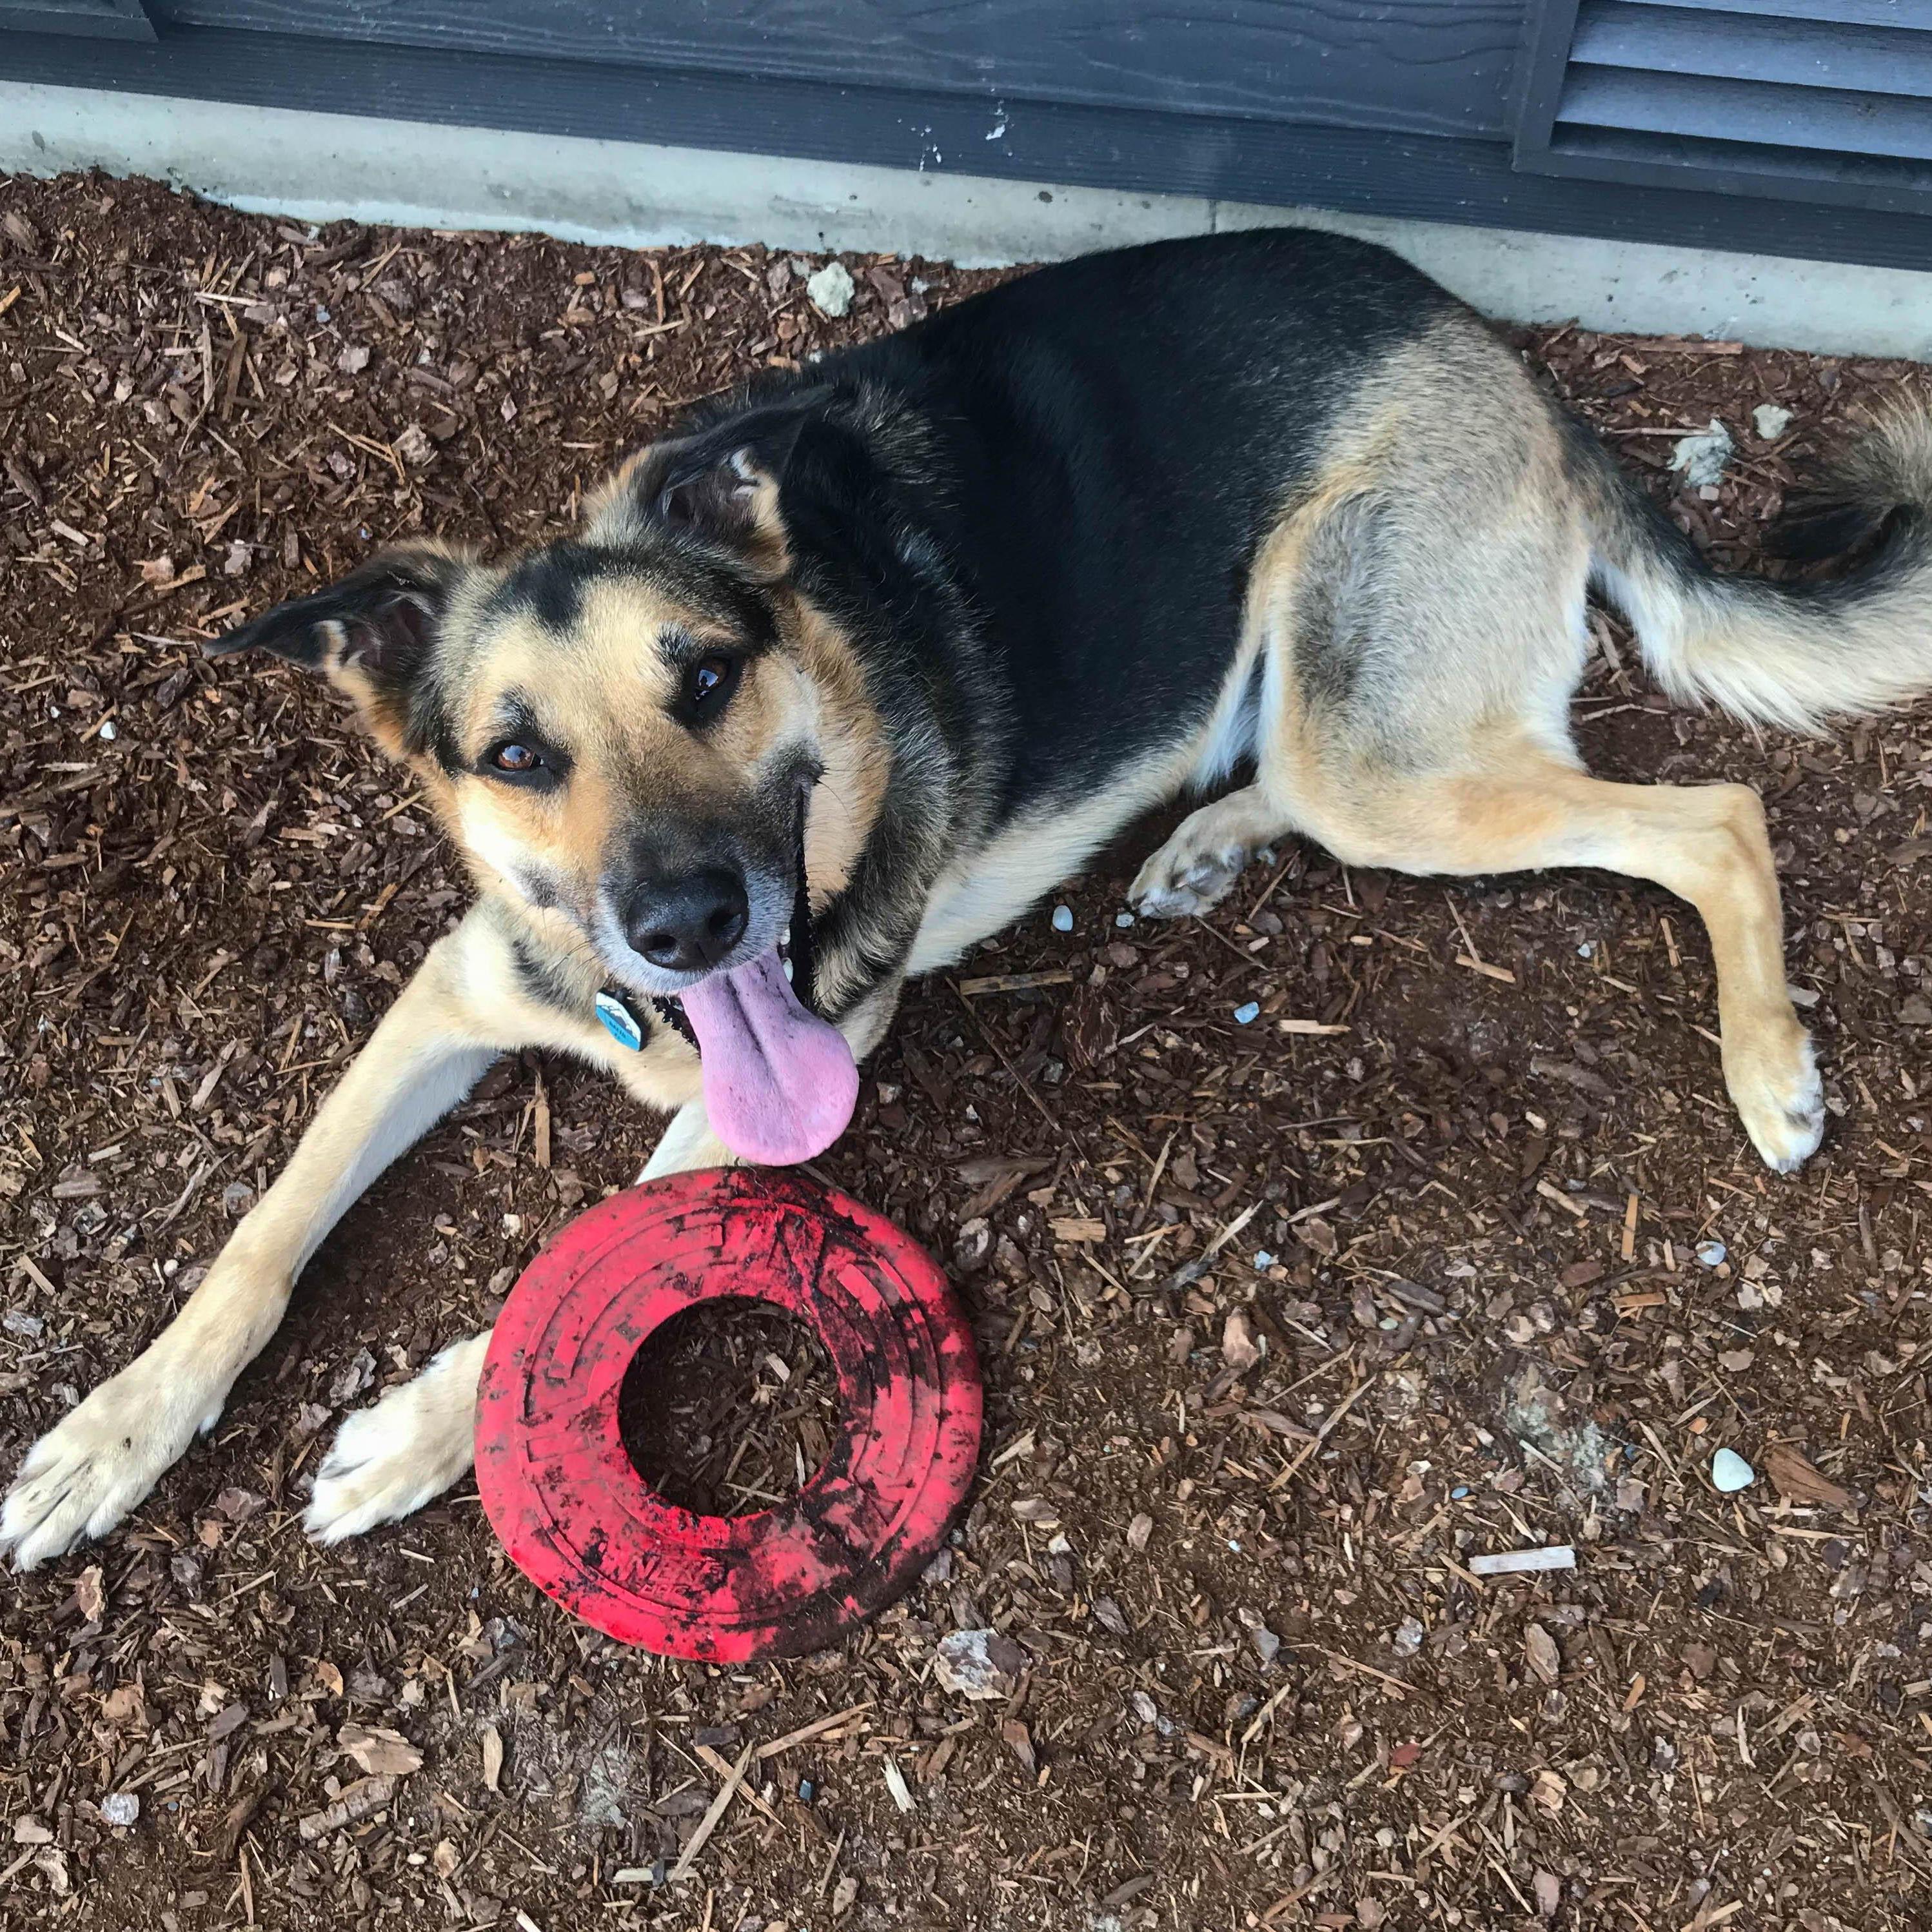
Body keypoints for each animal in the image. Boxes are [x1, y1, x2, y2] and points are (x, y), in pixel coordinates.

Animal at [3, 226, 1932, 1568]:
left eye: (706, 675)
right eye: (517, 752)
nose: (692, 928)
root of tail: (1503, 351)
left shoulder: (762, 1084)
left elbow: (566, 1248)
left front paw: (411, 1430)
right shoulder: (444, 1000)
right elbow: (259, 1236)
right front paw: (108, 1435)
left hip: (1378, 748)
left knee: (1715, 812)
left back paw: (1768, 1062)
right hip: (1335, 733)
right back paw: (1201, 843)